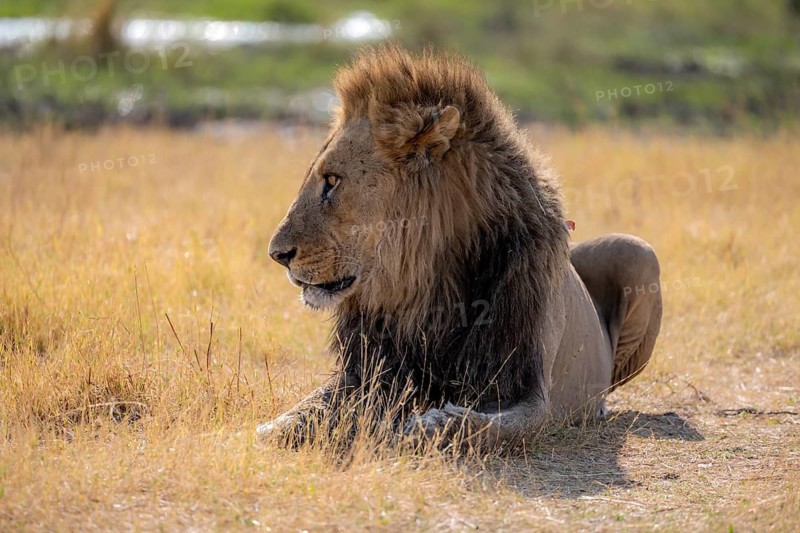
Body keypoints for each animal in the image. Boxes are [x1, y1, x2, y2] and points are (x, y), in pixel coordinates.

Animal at [257, 45, 662, 447]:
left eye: (332, 181)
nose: (277, 255)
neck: (425, 287)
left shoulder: (532, 395)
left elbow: (479, 425)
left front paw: (426, 425)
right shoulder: (366, 372)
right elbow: (303, 410)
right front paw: (268, 429)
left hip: (638, 251)